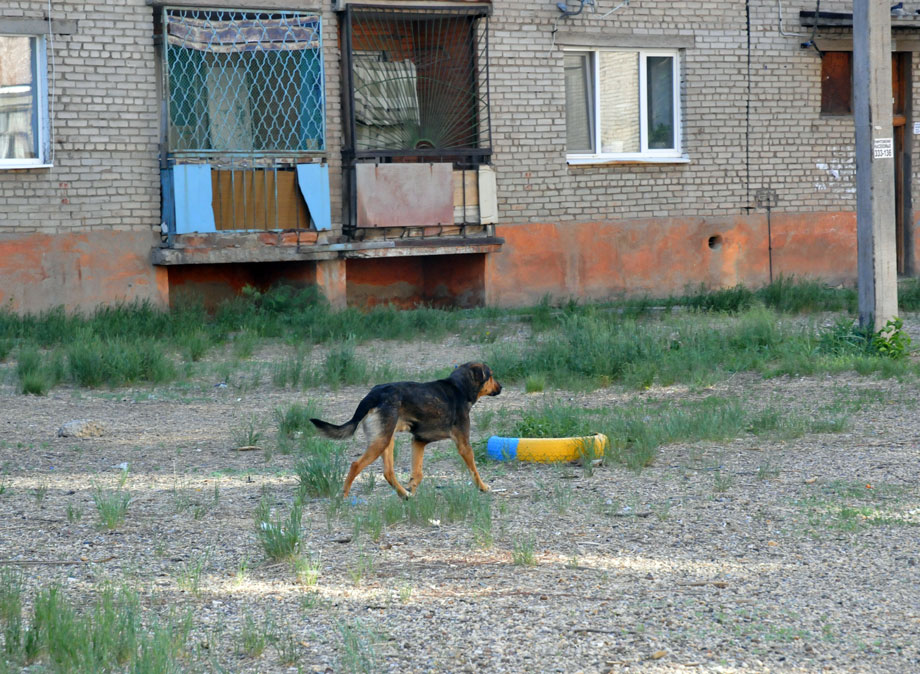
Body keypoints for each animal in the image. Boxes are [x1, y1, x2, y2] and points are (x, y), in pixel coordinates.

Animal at [310, 362, 500, 498]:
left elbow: (417, 473)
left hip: (387, 440)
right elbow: (474, 470)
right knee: (355, 465)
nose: (501, 387)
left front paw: (411, 489)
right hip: (381, 442)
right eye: (491, 375)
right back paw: (344, 496)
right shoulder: (463, 444)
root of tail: (374, 394)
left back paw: (404, 494)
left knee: (388, 472)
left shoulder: (419, 441)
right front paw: (483, 487)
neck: (459, 387)